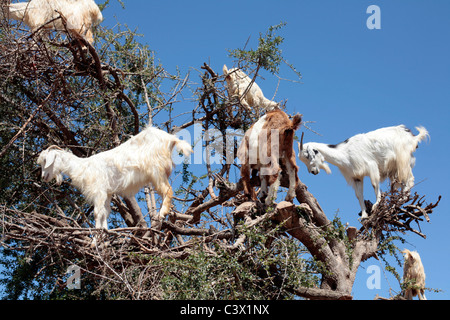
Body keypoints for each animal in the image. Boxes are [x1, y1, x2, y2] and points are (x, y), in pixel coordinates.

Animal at [37, 125, 192, 230]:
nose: (44, 177)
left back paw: (161, 214)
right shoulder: (107, 193)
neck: (83, 166)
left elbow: (97, 214)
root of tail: (170, 138)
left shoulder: (98, 191)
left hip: (156, 170)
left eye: (45, 161)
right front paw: (103, 238)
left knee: (168, 190)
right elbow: (104, 214)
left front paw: (95, 242)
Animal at [298, 125, 428, 220]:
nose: (313, 171)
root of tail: (412, 137)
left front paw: (376, 205)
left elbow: (375, 184)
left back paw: (401, 200)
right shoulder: (356, 176)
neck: (345, 153)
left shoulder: (371, 166)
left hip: (403, 160)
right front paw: (364, 216)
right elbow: (359, 195)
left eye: (308, 156)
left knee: (408, 180)